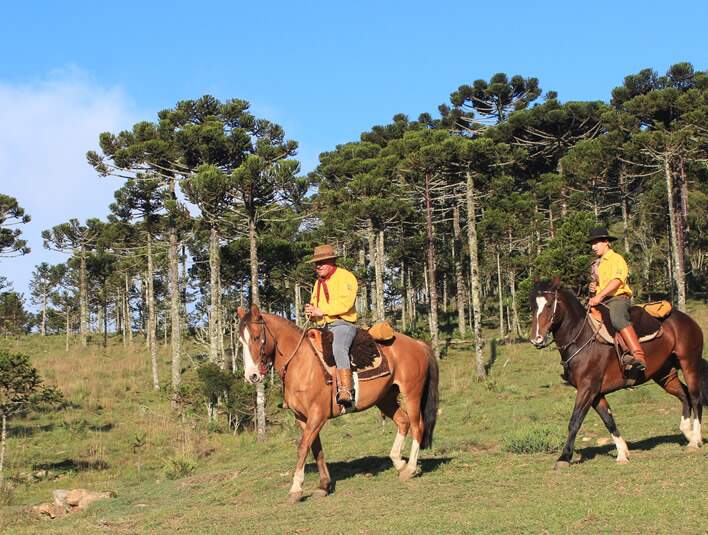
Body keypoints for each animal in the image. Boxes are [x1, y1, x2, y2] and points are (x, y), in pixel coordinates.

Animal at [238, 306, 436, 502]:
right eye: (241, 340)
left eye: (256, 336)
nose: (251, 376)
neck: (301, 362)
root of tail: (418, 344)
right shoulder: (303, 418)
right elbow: (316, 449)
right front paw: (323, 486)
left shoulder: (317, 415)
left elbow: (303, 448)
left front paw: (296, 489)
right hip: (385, 398)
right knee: (403, 421)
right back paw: (399, 462)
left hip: (411, 393)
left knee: (417, 426)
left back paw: (410, 468)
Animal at [528, 278, 704, 472]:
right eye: (532, 306)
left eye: (549, 305)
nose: (536, 339)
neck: (582, 339)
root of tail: (687, 319)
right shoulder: (596, 393)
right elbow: (608, 419)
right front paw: (622, 453)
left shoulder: (587, 388)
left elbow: (575, 421)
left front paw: (564, 457)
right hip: (664, 375)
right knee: (684, 395)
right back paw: (687, 433)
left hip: (689, 364)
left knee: (695, 398)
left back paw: (695, 440)